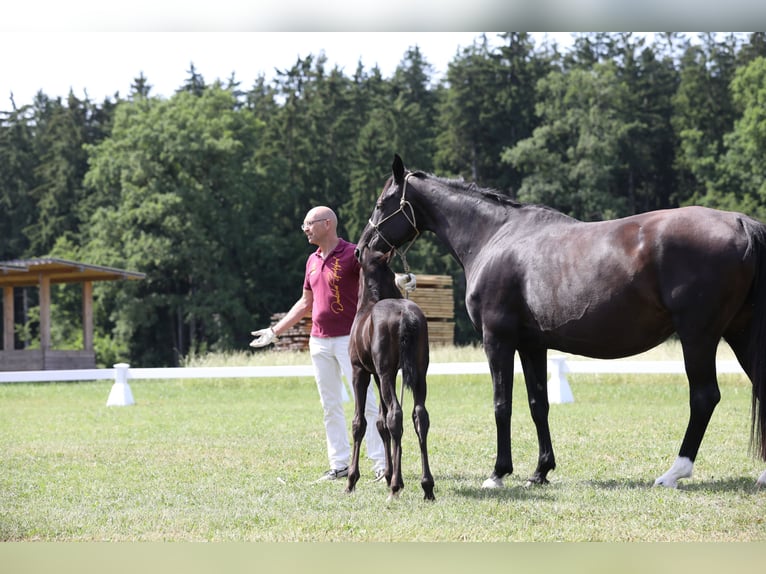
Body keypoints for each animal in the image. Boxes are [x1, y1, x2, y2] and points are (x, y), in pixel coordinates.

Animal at [345, 247, 435, 500]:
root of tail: (405, 316)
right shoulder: (381, 375)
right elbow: (381, 422)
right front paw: (389, 475)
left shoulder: (361, 372)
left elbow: (360, 423)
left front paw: (351, 480)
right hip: (419, 374)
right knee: (419, 416)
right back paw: (427, 486)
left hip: (384, 375)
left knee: (396, 414)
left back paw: (395, 488)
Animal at [356, 153, 766, 490]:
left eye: (381, 203)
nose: (362, 247)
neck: (494, 236)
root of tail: (741, 222)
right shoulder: (532, 344)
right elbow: (538, 403)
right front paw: (540, 471)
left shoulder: (497, 339)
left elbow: (502, 403)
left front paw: (498, 472)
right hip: (740, 333)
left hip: (699, 336)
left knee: (704, 397)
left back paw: (673, 472)